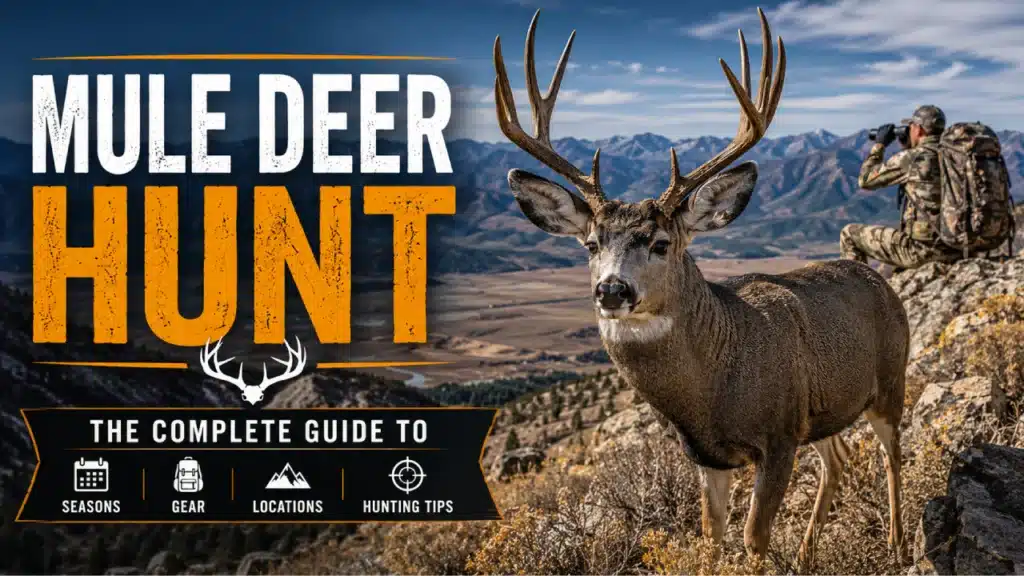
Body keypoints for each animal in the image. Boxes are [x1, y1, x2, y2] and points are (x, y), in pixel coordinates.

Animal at [493, 8, 910, 570]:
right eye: (590, 243)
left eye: (661, 242)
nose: (612, 290)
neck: (714, 387)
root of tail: (880, 281)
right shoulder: (708, 456)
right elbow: (711, 535)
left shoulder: (779, 435)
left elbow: (754, 537)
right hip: (824, 411)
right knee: (839, 457)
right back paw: (807, 554)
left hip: (890, 382)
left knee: (892, 455)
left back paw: (899, 545)